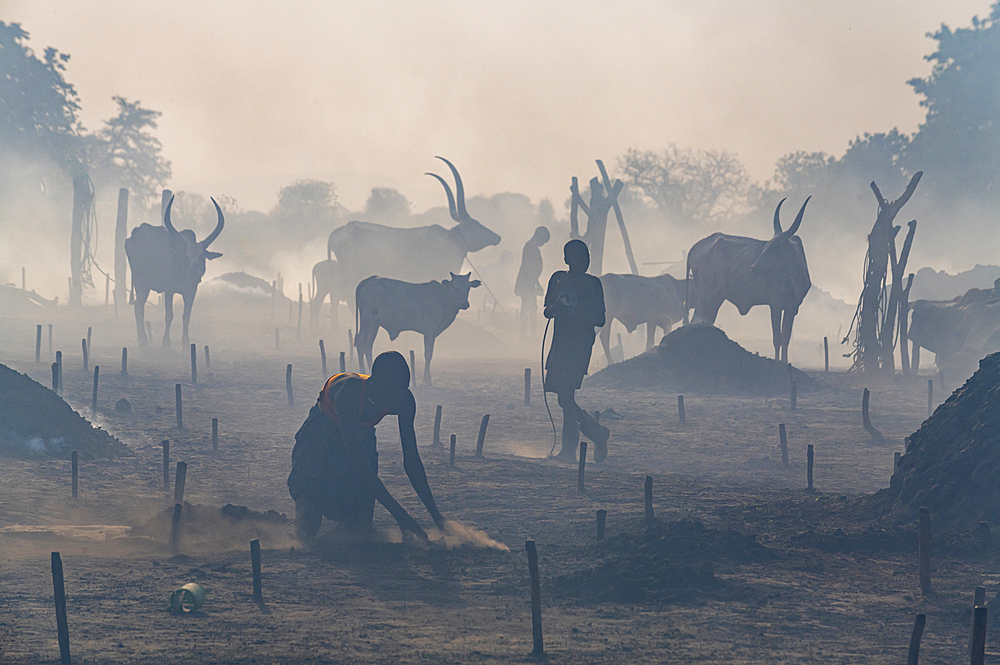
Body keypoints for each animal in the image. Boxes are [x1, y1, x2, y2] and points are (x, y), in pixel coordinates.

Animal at [684, 197, 808, 364]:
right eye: (766, 246)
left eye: (777, 247)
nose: (753, 268)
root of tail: (694, 247)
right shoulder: (775, 304)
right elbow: (777, 338)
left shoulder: (792, 307)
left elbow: (786, 338)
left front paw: (785, 362)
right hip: (706, 296)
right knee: (696, 321)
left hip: (715, 299)